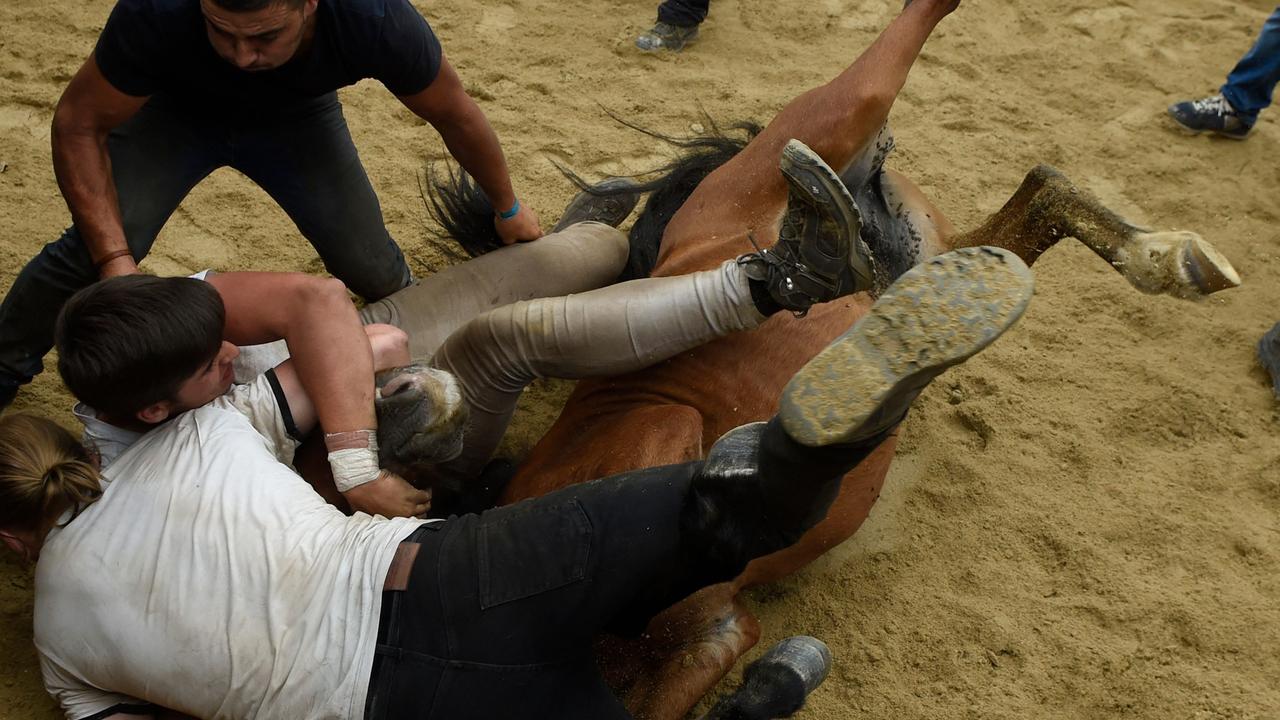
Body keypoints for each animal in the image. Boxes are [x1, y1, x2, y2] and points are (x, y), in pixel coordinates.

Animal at [422, 2, 1239, 712]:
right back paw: (1167, 259)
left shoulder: (653, 459)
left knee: (900, 63)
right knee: (1034, 199)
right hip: (926, 252)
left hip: (821, 132)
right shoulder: (709, 630)